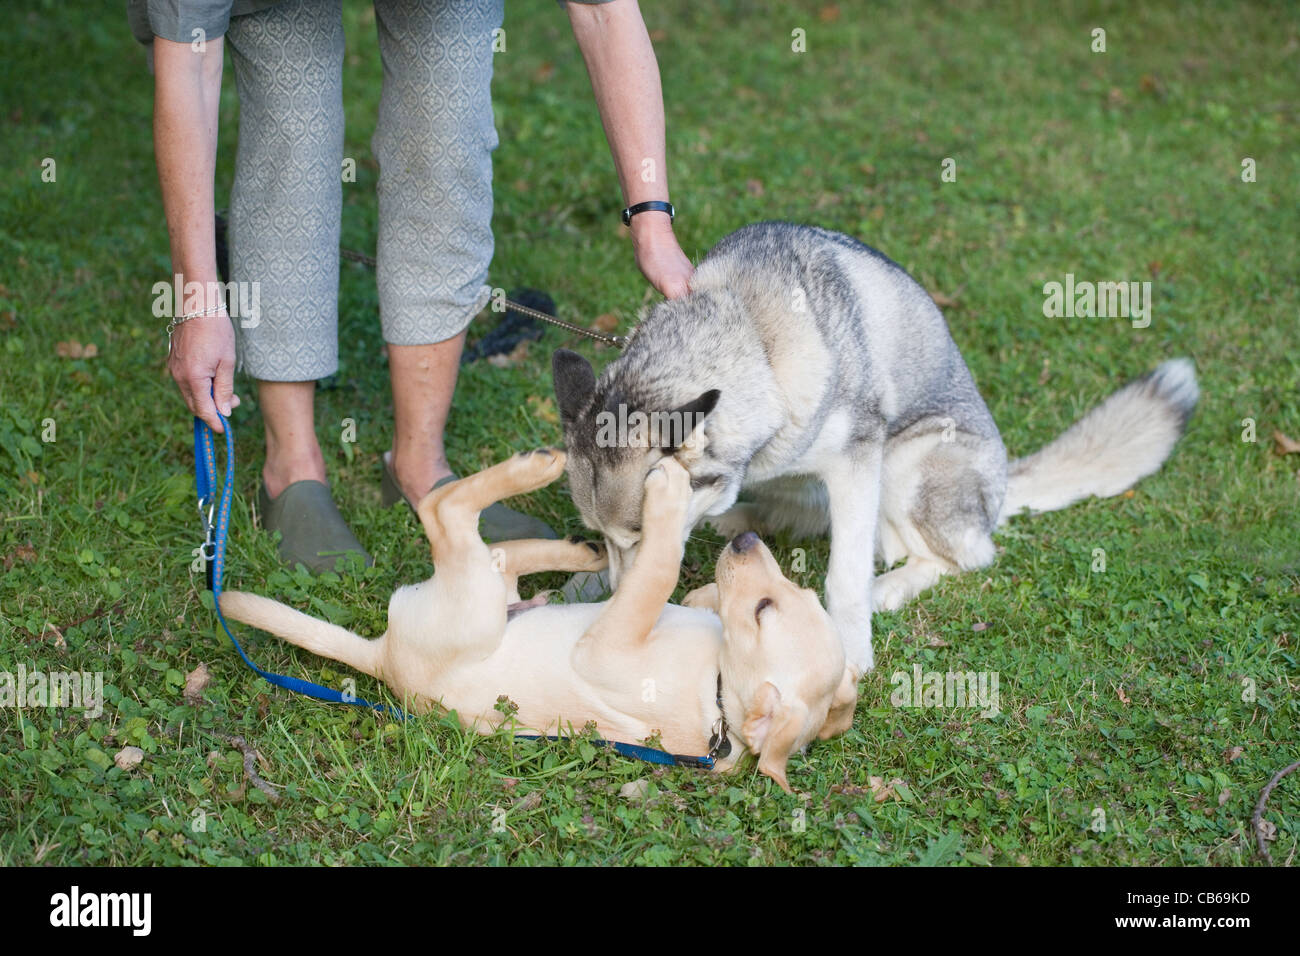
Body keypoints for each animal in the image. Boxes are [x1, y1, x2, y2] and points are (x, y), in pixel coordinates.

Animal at [223, 452, 852, 790]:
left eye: (764, 611)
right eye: (795, 592)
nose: (748, 541)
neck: (718, 694)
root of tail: (383, 656)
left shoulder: (606, 646)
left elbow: (658, 571)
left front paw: (671, 499)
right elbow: (669, 580)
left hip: (472, 605)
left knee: (442, 511)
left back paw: (538, 476)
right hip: (494, 595)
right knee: (497, 547)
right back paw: (581, 549)